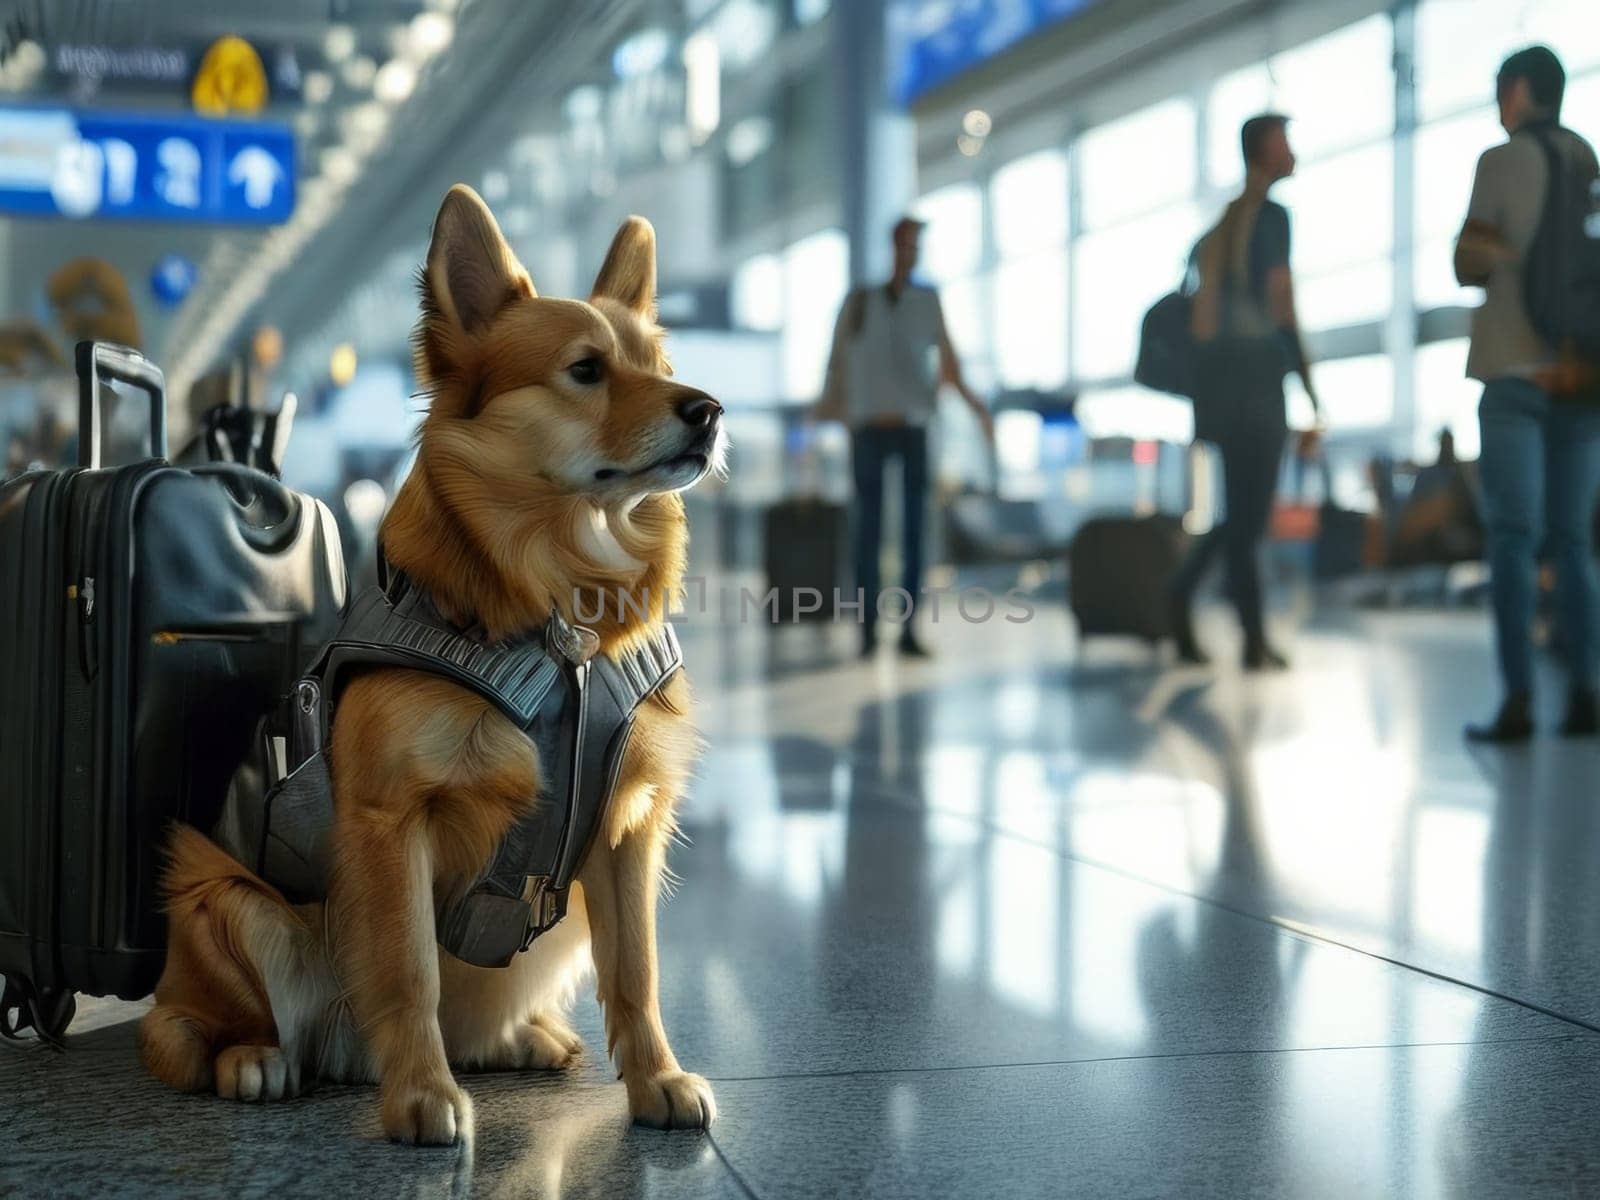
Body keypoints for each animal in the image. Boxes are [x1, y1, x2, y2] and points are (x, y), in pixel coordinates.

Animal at [137, 185, 726, 1145]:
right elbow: (410, 967)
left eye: (663, 366)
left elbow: (638, 973)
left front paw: (657, 1080)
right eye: (586, 370)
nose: (709, 409)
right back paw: (253, 1058)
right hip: (218, 896)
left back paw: (517, 1038)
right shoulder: (391, 819)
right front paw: (418, 1096)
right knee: (183, 1033)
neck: (561, 620)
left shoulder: (626, 828)